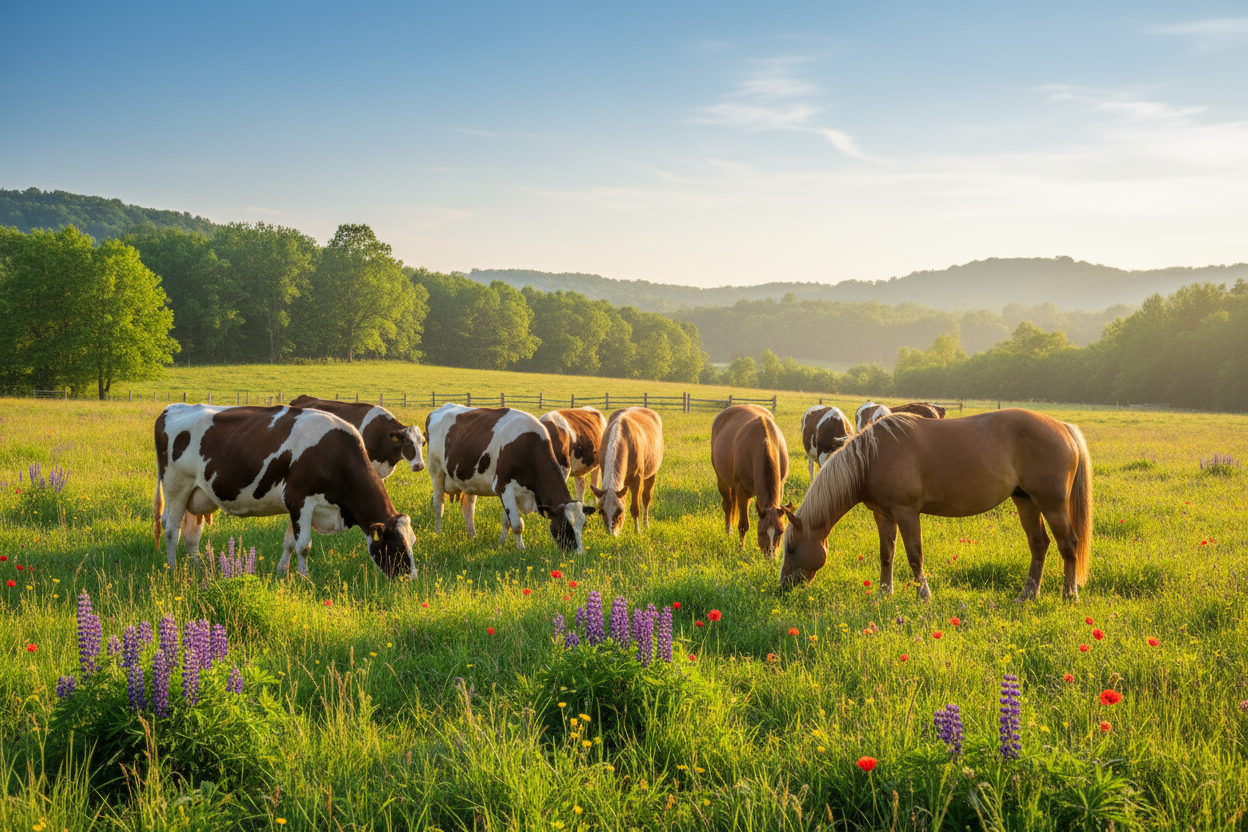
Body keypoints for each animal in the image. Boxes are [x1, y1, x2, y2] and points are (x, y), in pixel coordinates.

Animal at [153, 404, 416, 579]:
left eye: (412, 541)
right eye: (397, 546)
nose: (411, 579)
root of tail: (172, 408)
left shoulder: (298, 506)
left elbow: (290, 543)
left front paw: (282, 573)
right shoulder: (300, 499)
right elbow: (304, 545)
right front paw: (305, 578)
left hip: (196, 494)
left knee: (191, 535)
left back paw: (199, 569)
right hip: (176, 486)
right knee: (172, 530)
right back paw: (173, 569)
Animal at [425, 403, 594, 553]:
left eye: (583, 525)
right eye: (566, 526)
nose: (579, 553)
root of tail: (438, 410)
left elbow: (508, 520)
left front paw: (501, 543)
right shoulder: (503, 487)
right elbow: (517, 524)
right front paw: (521, 549)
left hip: (470, 480)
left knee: (468, 507)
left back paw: (473, 535)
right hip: (436, 470)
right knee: (438, 504)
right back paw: (438, 533)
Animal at [591, 407, 664, 536]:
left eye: (619, 511)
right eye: (601, 511)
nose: (612, 534)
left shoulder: (637, 480)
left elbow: (635, 508)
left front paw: (637, 531)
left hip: (652, 473)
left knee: (646, 498)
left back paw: (646, 523)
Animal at [712, 404, 792, 557]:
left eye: (781, 531)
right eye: (761, 532)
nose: (771, 557)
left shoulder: (781, 486)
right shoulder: (742, 491)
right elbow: (743, 525)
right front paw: (741, 548)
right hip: (721, 480)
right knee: (728, 506)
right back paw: (728, 532)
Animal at [779, 409, 1092, 601]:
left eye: (791, 548)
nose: (783, 587)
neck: (872, 457)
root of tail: (1063, 428)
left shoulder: (906, 512)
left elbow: (914, 555)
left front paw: (923, 595)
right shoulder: (883, 515)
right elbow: (886, 554)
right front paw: (884, 593)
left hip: (1052, 505)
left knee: (1069, 544)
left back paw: (1069, 595)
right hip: (1026, 501)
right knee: (1039, 544)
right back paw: (1028, 595)